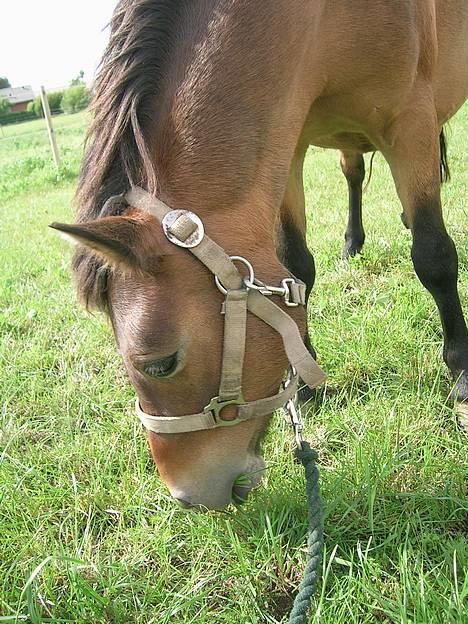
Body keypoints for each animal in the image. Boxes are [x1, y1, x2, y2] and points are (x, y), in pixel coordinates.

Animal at [52, 0, 468, 510]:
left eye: (160, 364)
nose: (186, 495)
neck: (324, 22)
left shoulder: (409, 123)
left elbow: (434, 258)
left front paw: (461, 372)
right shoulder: (289, 147)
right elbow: (297, 266)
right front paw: (305, 384)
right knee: (351, 172)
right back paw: (352, 241)